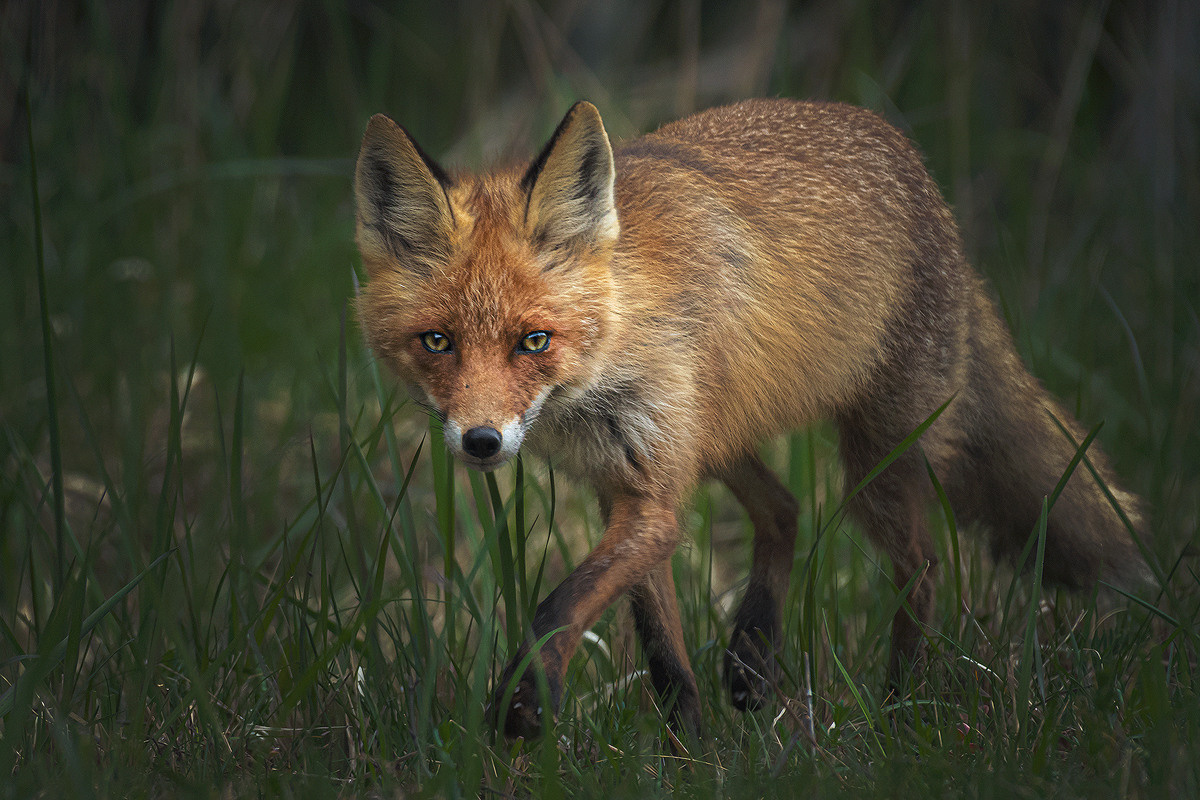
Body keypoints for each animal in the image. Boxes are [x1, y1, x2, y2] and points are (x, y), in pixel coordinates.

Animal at [352, 98, 1149, 739]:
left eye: (534, 341)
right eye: (437, 342)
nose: (481, 441)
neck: (613, 348)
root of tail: (918, 171)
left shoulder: (653, 496)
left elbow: (561, 603)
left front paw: (523, 700)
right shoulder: (629, 489)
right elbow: (661, 654)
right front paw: (690, 753)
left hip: (872, 470)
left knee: (920, 567)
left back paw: (897, 712)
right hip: (722, 438)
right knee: (787, 508)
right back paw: (752, 655)